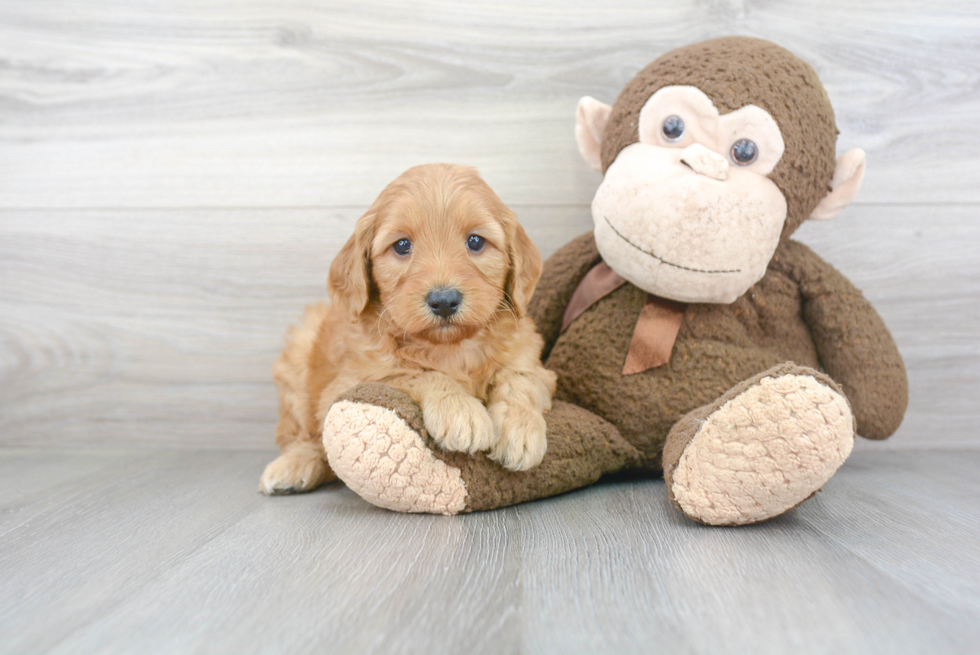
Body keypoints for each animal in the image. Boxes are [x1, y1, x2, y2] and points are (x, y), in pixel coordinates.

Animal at [258, 164, 560, 498]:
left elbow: (520, 378)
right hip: (300, 357)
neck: (451, 348)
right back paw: (293, 466)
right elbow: (414, 373)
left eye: (476, 242)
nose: (444, 301)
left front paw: (520, 428)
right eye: (402, 245)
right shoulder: (348, 383)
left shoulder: (531, 359)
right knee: (305, 439)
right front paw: (459, 410)